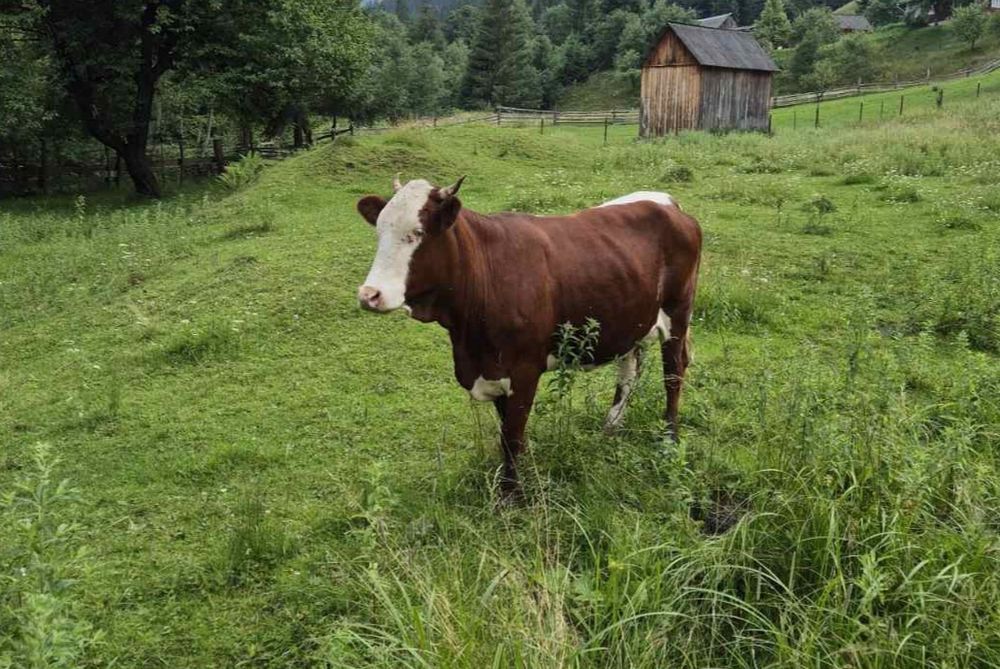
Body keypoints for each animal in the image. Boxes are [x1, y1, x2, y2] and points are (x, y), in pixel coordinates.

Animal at [356, 176, 702, 498]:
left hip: (678, 312)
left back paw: (669, 438)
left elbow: (512, 436)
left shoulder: (524, 370)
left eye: (416, 234)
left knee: (673, 374)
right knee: (629, 370)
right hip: (631, 319)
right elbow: (506, 432)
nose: (369, 295)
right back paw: (611, 428)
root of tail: (668, 203)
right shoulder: (494, 370)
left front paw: (512, 495)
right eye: (379, 232)